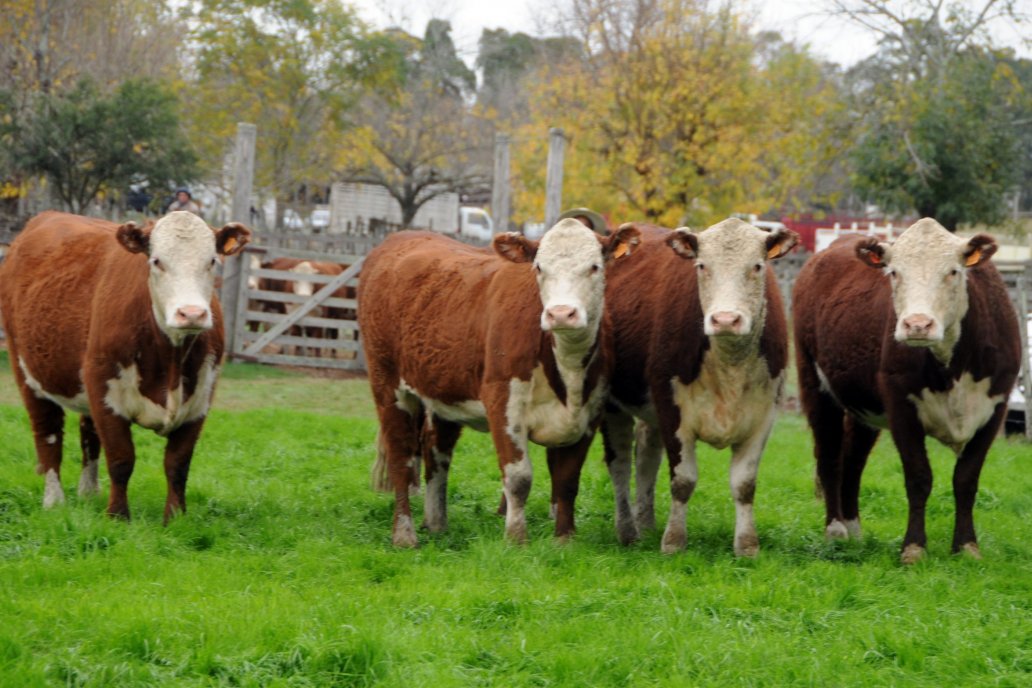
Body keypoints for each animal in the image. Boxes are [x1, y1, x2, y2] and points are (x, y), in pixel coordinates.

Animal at [0, 210, 249, 521]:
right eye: (157, 261)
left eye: (212, 261)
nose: (191, 313)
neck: (170, 360)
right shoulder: (105, 392)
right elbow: (121, 459)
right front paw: (118, 517)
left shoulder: (200, 400)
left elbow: (178, 464)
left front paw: (175, 518)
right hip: (27, 373)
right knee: (48, 436)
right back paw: (54, 501)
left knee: (88, 434)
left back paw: (89, 493)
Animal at [359, 221, 639, 548]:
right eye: (539, 267)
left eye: (595, 266)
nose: (560, 314)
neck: (565, 367)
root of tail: (402, 236)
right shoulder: (503, 403)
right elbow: (518, 478)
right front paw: (516, 538)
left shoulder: (589, 412)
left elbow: (568, 479)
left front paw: (564, 540)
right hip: (387, 384)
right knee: (401, 458)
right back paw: (404, 535)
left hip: (443, 392)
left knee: (436, 451)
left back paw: (437, 523)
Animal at [598, 217, 796, 557]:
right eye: (702, 265)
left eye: (757, 266)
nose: (725, 319)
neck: (729, 366)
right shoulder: (672, 409)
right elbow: (683, 480)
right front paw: (673, 541)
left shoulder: (764, 414)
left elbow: (744, 484)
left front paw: (747, 545)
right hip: (613, 404)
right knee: (620, 462)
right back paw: (628, 530)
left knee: (646, 456)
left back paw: (646, 523)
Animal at [792, 220, 1019, 565]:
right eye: (894, 272)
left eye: (953, 271)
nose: (917, 324)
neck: (951, 366)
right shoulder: (900, 405)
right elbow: (918, 477)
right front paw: (913, 548)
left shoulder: (995, 408)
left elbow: (966, 479)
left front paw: (966, 546)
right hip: (815, 386)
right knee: (830, 456)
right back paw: (836, 531)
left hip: (863, 408)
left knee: (853, 460)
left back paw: (854, 530)